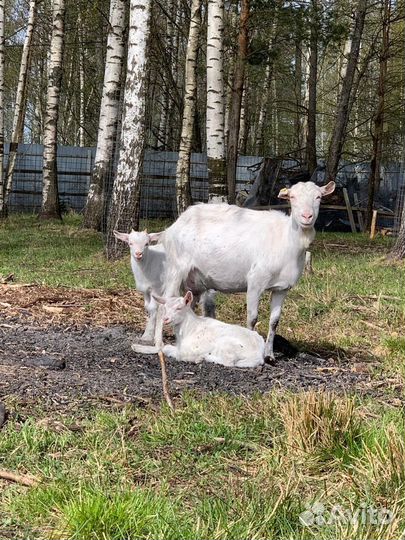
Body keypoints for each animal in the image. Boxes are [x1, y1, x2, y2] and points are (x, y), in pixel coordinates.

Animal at [160, 179, 334, 360]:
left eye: (319, 197)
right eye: (292, 197)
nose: (307, 216)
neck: (286, 239)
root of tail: (174, 225)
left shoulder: (282, 288)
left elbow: (274, 321)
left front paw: (270, 355)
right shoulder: (255, 282)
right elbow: (252, 318)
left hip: (195, 281)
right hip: (176, 268)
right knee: (163, 302)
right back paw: (157, 343)